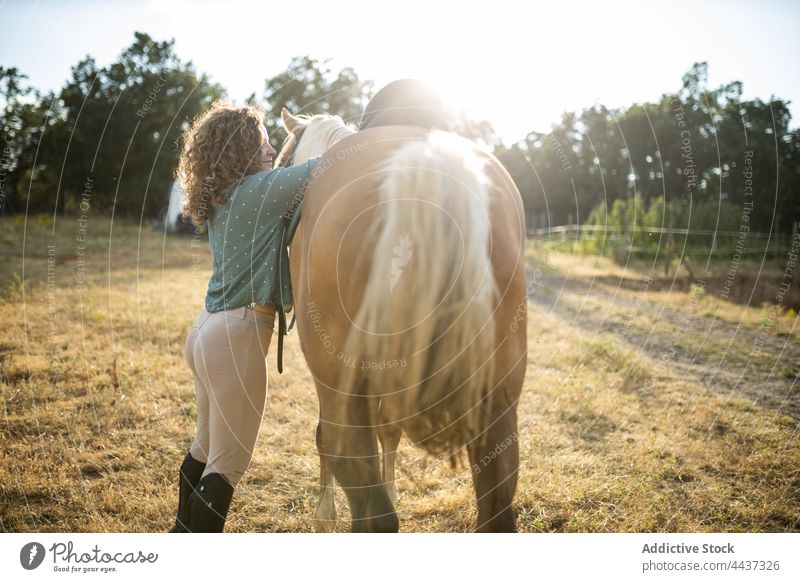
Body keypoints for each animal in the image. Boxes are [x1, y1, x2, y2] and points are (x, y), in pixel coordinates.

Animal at [278, 107, 528, 532]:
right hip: (498, 396)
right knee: (496, 501)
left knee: (356, 477)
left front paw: (325, 513)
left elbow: (327, 437)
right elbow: (390, 430)